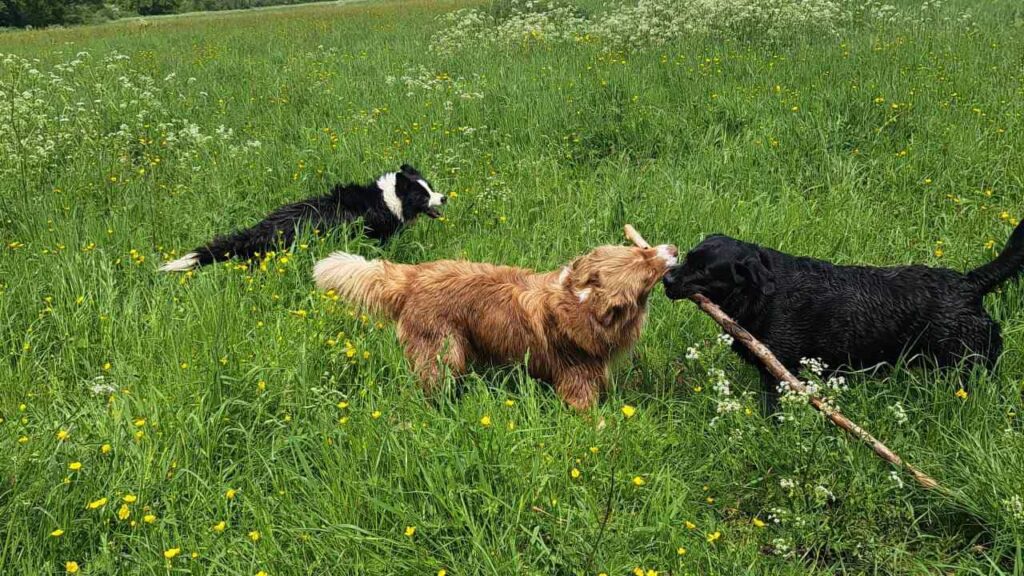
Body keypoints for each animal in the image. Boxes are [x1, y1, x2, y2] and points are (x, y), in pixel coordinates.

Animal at [315, 241, 675, 407]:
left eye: (642, 249)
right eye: (646, 269)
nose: (672, 248)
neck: (581, 302)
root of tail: (414, 276)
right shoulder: (577, 381)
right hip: (444, 354)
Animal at [663, 219, 1024, 407]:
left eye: (704, 271)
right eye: (688, 257)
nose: (666, 279)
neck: (763, 294)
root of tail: (969, 283)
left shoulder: (778, 373)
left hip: (969, 366)